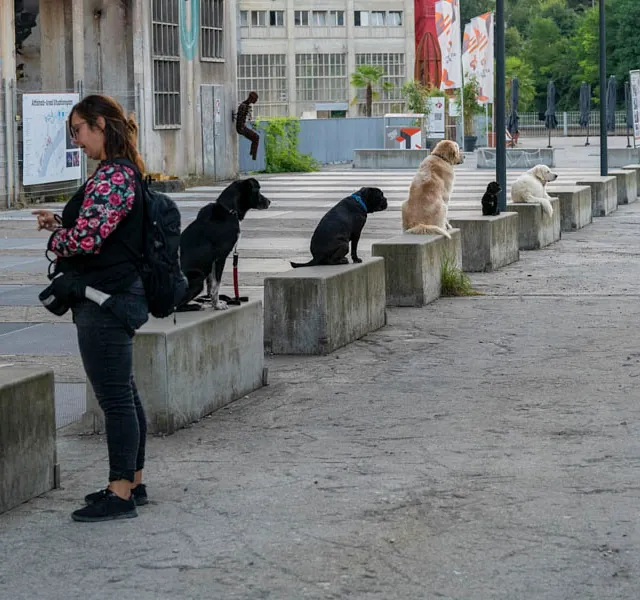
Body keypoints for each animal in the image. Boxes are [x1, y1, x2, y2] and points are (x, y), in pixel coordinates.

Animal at [180, 177, 270, 310]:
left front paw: (213, 302)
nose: (269, 202)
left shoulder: (212, 262)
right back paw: (195, 306)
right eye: (257, 191)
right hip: (198, 278)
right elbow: (217, 283)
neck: (230, 210)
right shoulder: (221, 257)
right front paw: (217, 305)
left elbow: (211, 284)